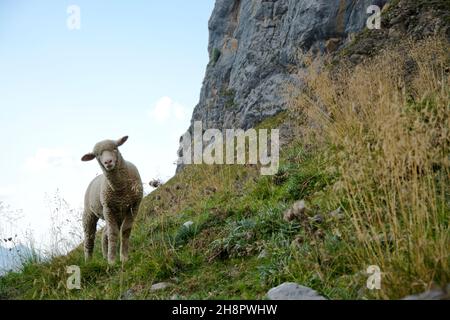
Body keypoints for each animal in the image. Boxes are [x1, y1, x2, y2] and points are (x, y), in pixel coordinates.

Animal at [81, 136, 142, 264]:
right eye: (97, 155)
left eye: (115, 148)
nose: (108, 162)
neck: (120, 189)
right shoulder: (108, 208)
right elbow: (113, 233)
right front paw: (112, 261)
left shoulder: (134, 206)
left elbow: (125, 230)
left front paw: (124, 258)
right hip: (90, 214)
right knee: (90, 237)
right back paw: (88, 261)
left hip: (117, 214)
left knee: (104, 233)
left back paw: (104, 256)